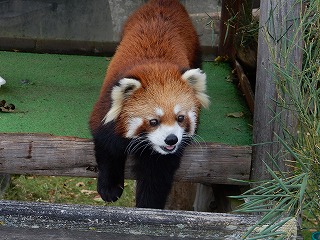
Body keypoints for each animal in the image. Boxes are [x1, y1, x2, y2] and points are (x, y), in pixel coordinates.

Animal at [90, 0, 210, 210]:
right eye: (154, 121)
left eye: (180, 118)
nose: (171, 140)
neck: (156, 68)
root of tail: (164, 3)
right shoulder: (105, 110)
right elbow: (108, 146)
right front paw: (109, 188)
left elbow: (156, 176)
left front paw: (148, 206)